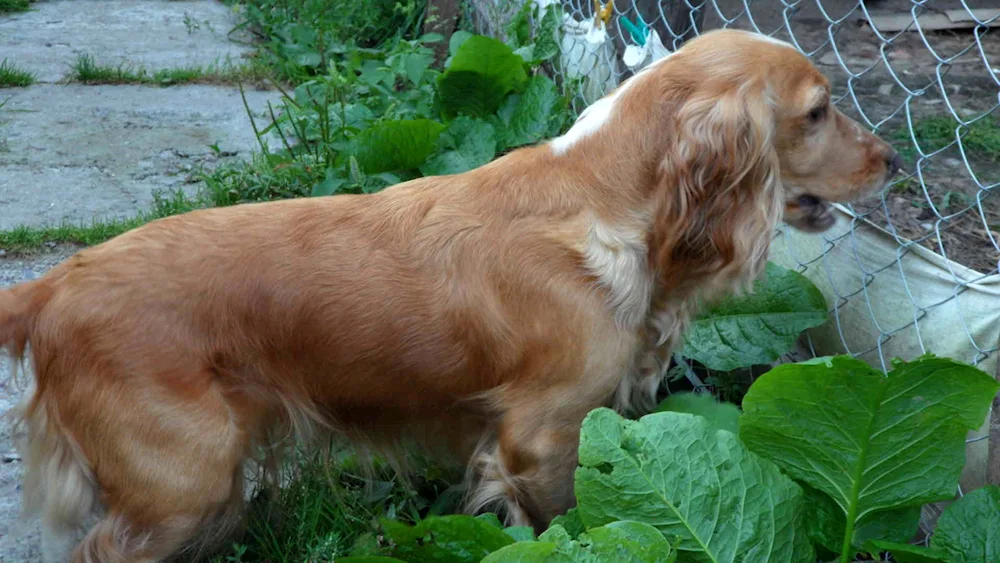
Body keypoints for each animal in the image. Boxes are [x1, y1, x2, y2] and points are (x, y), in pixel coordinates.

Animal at [0, 30, 904, 563]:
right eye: (818, 111)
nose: (893, 159)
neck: (603, 196)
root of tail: (50, 286)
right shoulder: (540, 437)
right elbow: (559, 524)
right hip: (181, 480)